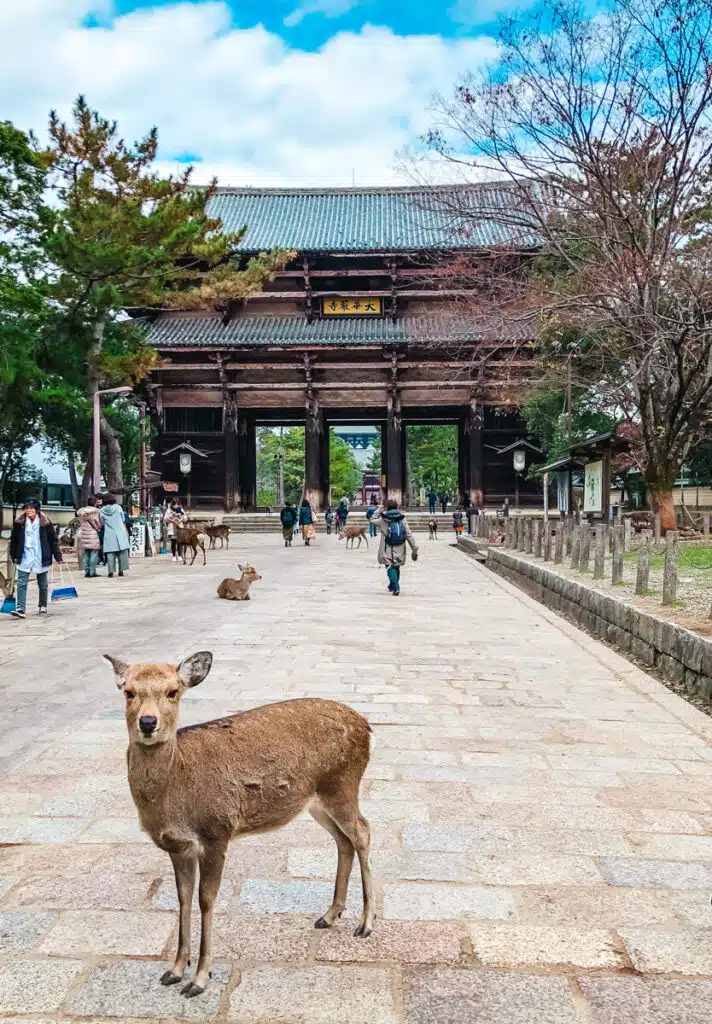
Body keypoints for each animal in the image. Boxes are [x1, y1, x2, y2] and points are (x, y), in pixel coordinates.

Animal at [103, 651, 375, 998]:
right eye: (129, 692)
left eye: (172, 691)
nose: (148, 722)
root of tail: (366, 725)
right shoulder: (178, 846)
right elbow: (182, 897)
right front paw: (175, 970)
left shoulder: (216, 831)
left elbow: (206, 900)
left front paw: (200, 978)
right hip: (317, 801)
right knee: (344, 841)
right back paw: (329, 916)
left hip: (342, 784)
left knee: (363, 832)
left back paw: (365, 924)